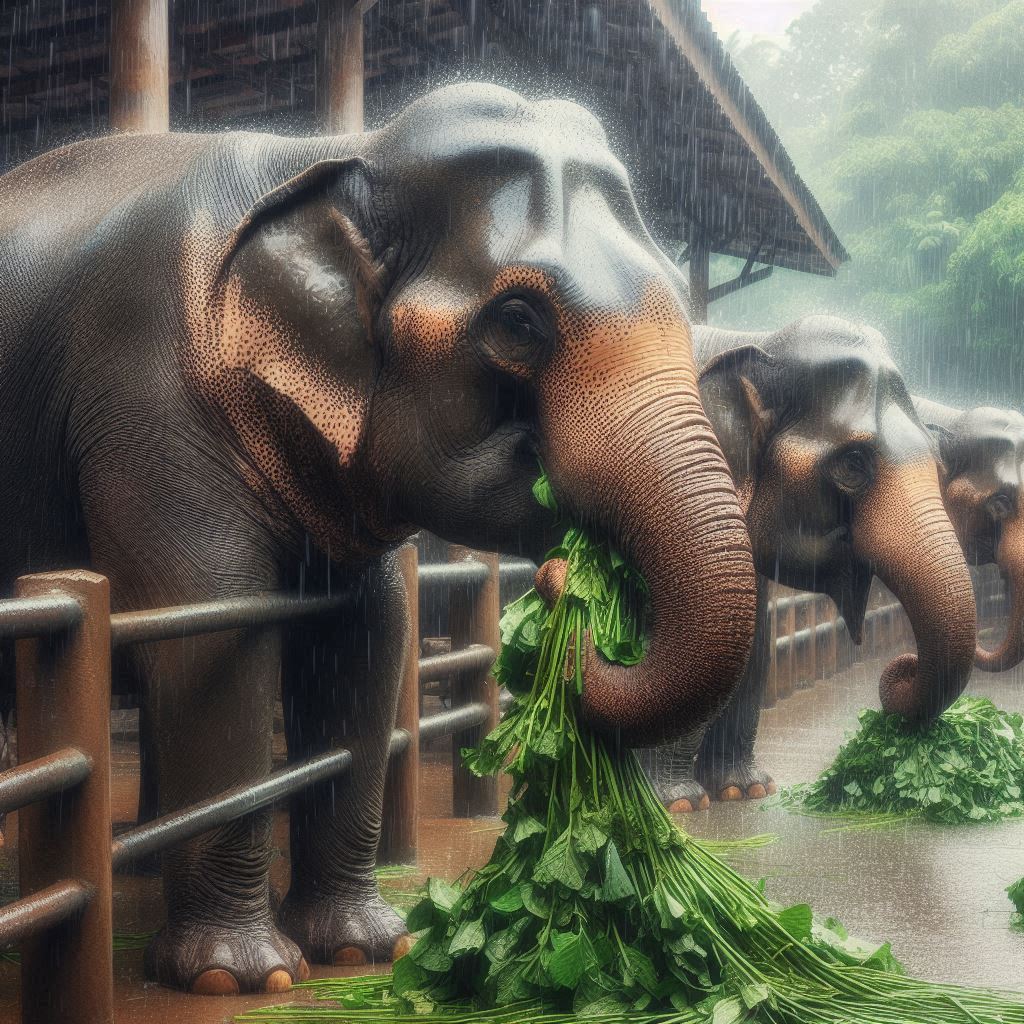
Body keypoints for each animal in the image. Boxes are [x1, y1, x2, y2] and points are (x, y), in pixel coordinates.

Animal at [0, 83, 757, 995]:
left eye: (683, 298)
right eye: (518, 320)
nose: (557, 581)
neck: (340, 152)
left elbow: (370, 637)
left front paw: (366, 947)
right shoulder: (145, 399)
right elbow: (213, 627)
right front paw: (239, 977)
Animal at [638, 315, 974, 811]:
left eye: (938, 462)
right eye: (853, 464)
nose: (902, 667)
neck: (753, 342)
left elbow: (751, 640)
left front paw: (746, 791)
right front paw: (678, 804)